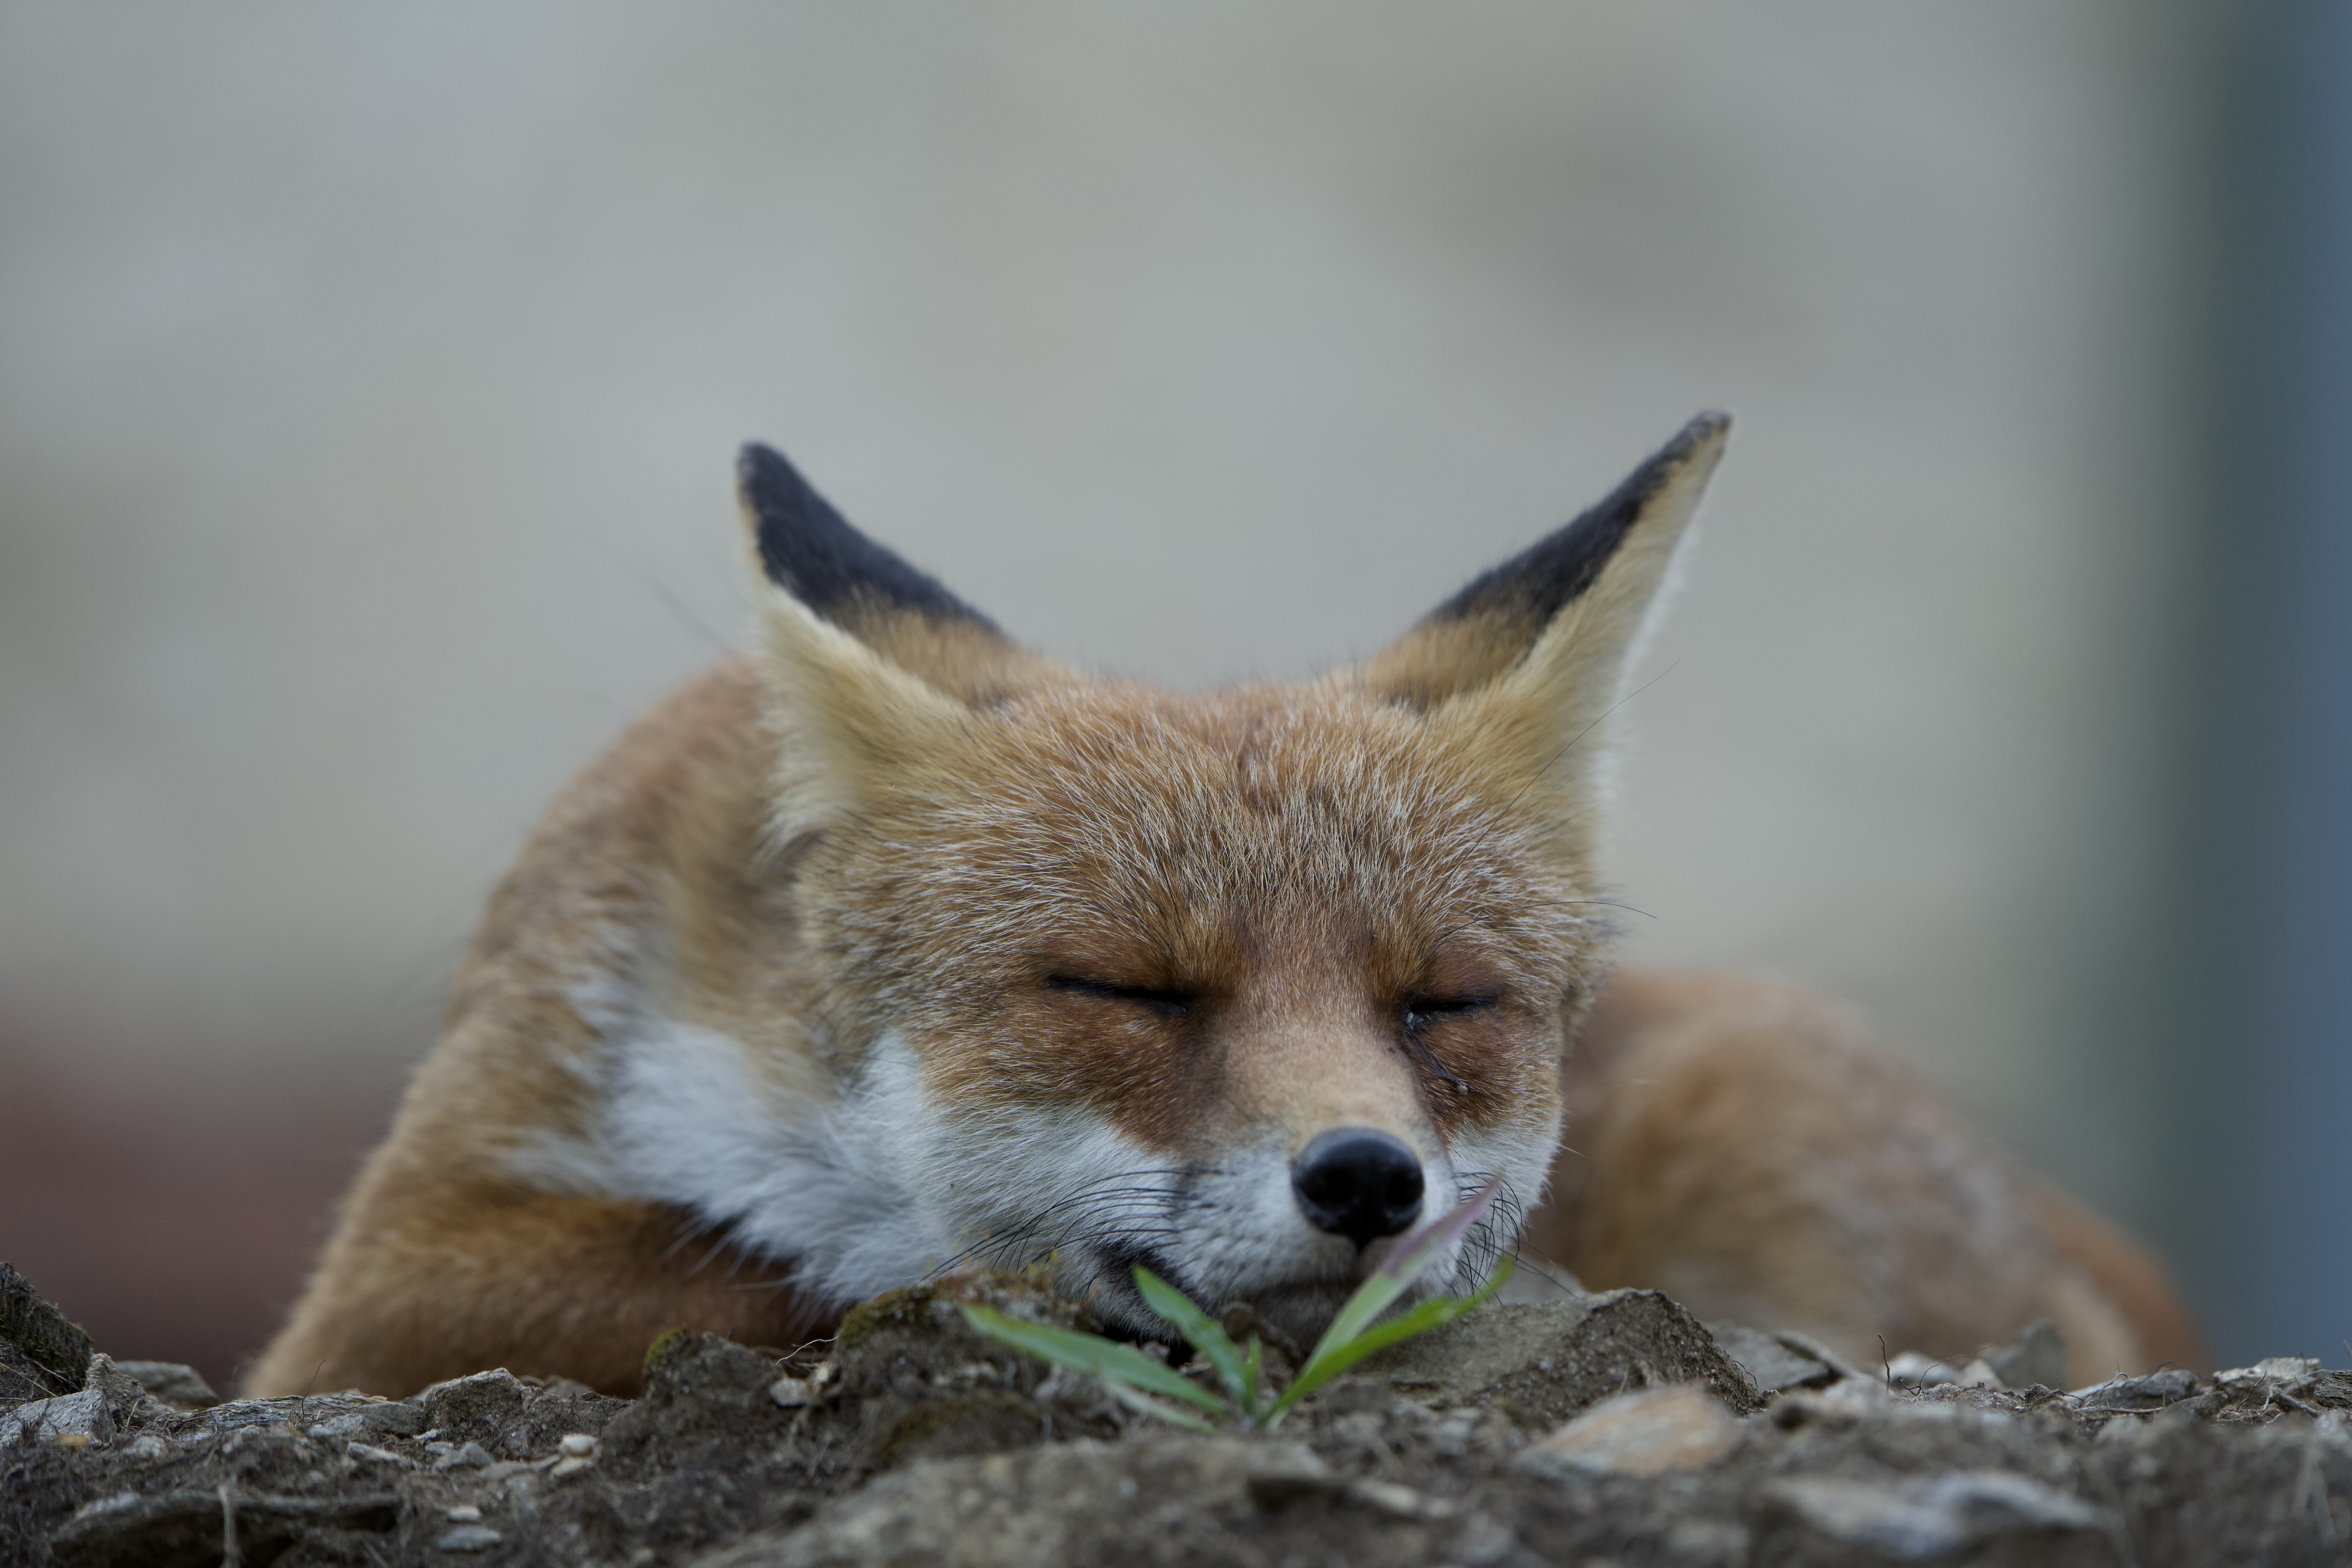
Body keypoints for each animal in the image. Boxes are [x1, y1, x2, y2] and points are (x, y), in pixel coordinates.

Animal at [248, 413, 2198, 1399]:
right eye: (1127, 990)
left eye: (1442, 1003)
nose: (1365, 1178)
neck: (772, 1072)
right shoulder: (385, 1272)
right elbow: (747, 1259)